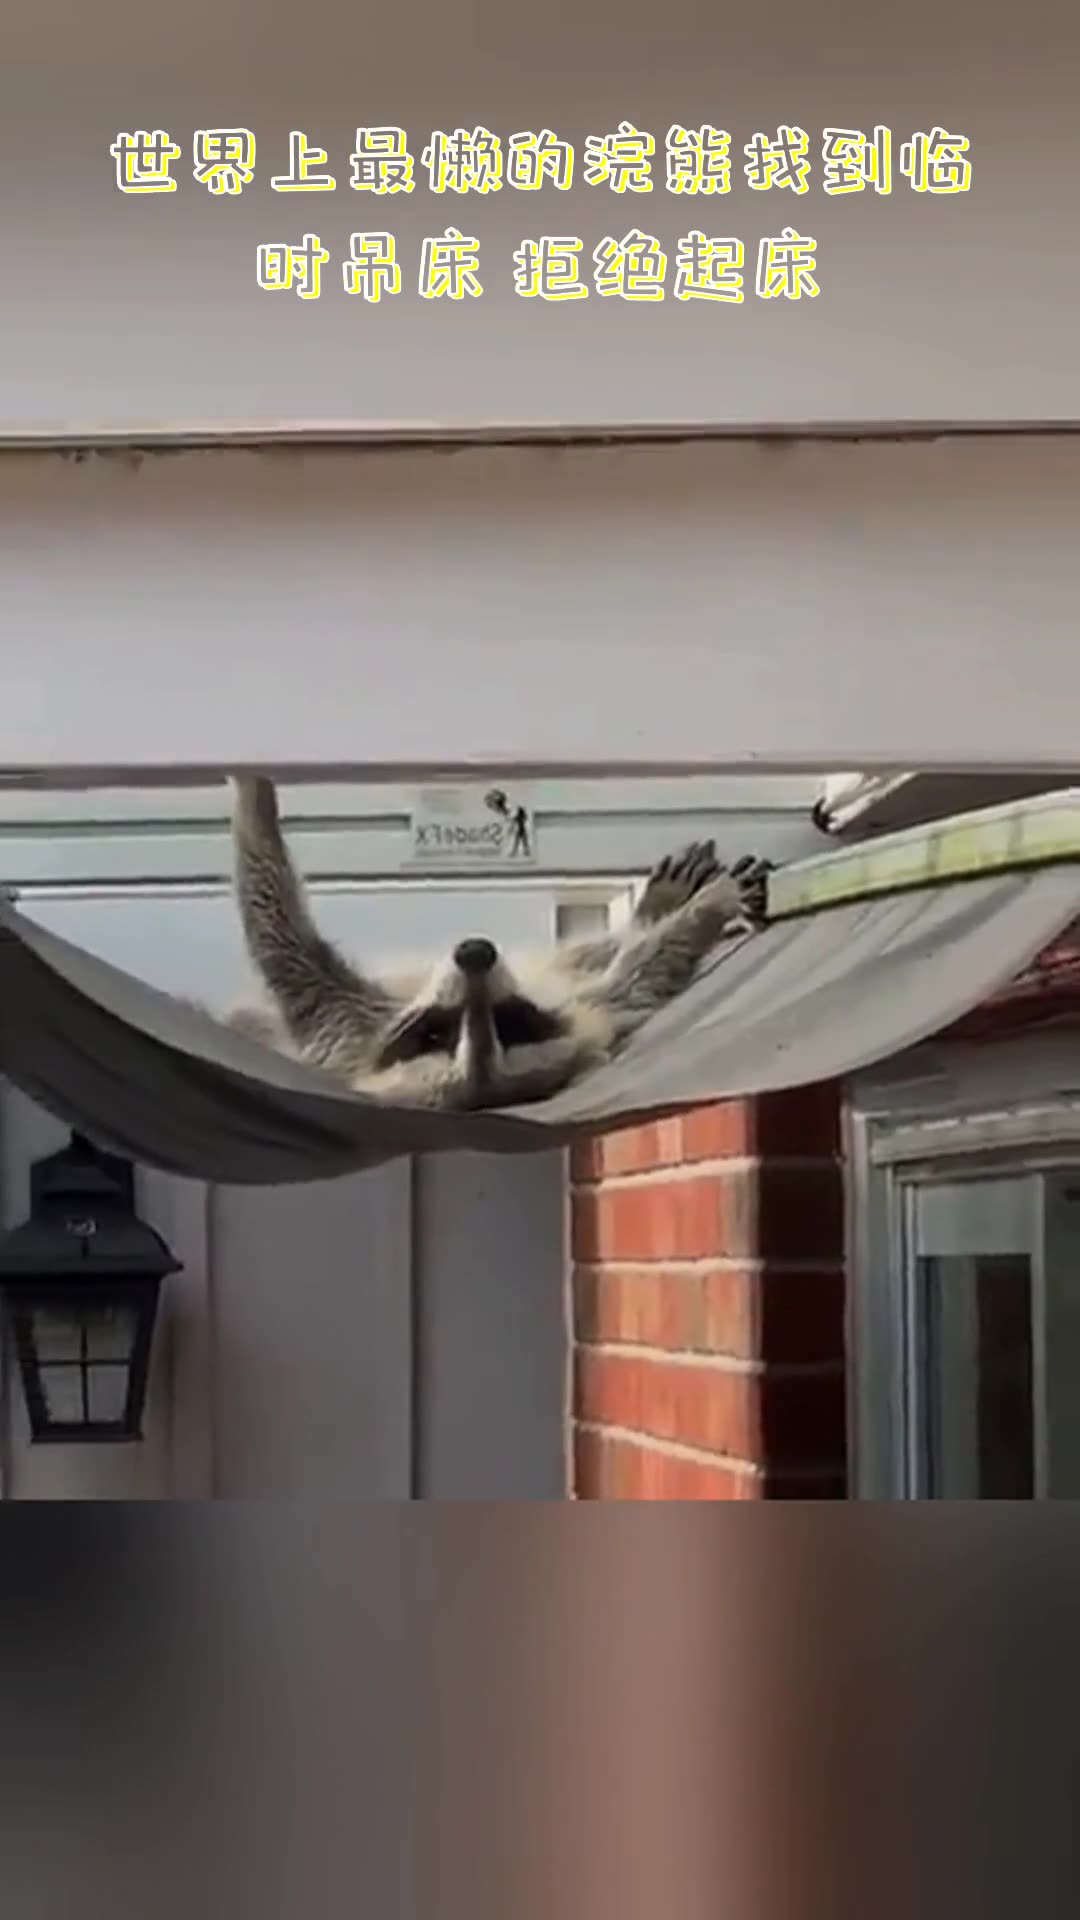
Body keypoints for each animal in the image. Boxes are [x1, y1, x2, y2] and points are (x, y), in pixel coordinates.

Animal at [224, 775, 764, 1113]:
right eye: (435, 1035)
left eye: (511, 1025)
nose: (475, 954)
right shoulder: (346, 1021)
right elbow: (279, 933)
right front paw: (254, 797)